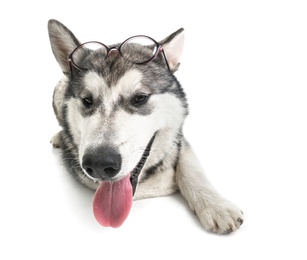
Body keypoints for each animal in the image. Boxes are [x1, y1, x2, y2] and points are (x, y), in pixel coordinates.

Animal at [48, 19, 245, 233]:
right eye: (87, 100)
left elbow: (191, 166)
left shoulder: (180, 138)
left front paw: (215, 205)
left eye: (140, 98)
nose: (99, 164)